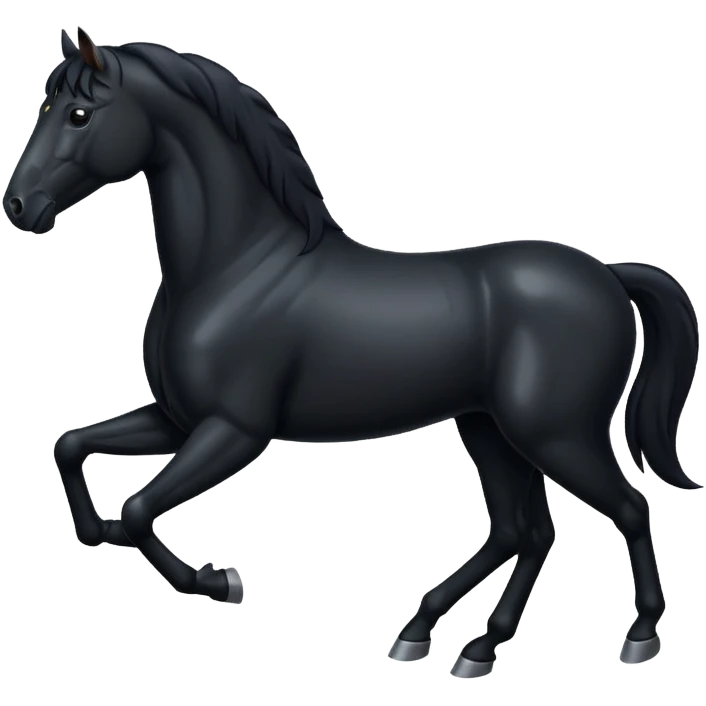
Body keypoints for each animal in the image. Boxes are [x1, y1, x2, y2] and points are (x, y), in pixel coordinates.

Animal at [3, 28, 700, 679]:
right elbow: (71, 449)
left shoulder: (234, 430)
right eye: (47, 104)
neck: (234, 268)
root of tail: (608, 274)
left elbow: (141, 506)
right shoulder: (176, 420)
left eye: (80, 114)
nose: (18, 206)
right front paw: (109, 536)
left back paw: (637, 638)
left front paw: (221, 580)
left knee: (626, 509)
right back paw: (449, 641)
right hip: (491, 430)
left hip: (556, 434)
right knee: (522, 533)